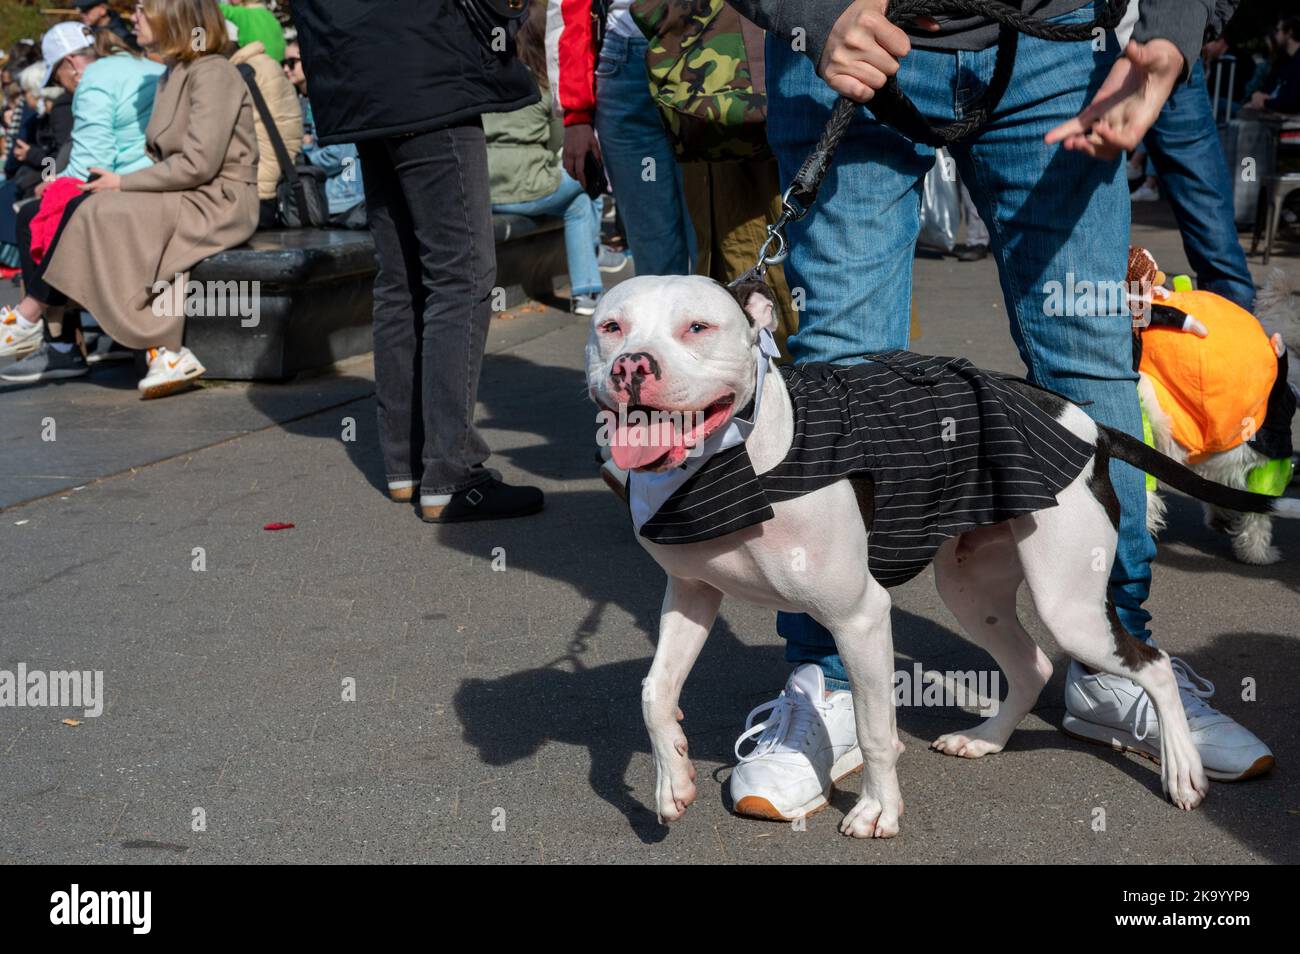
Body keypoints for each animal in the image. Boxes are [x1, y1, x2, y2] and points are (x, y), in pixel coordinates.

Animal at [592, 272, 1300, 842]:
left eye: (698, 327)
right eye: (610, 327)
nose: (631, 366)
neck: (735, 461)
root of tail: (1084, 423)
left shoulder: (859, 618)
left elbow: (876, 730)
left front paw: (878, 810)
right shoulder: (690, 596)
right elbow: (654, 691)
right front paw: (672, 779)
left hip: (1069, 604)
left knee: (1150, 665)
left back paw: (1183, 770)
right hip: (971, 590)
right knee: (1034, 663)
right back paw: (987, 740)